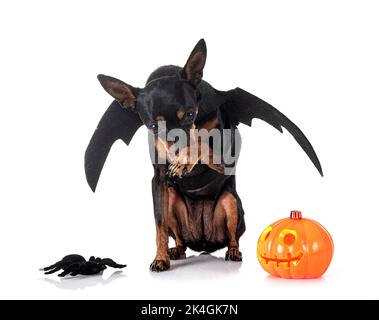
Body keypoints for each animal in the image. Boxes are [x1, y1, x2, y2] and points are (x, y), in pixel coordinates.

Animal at [86, 38, 324, 272]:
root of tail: (204, 244)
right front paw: (160, 258)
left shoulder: (224, 157)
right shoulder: (159, 179)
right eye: (154, 126)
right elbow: (159, 226)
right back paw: (175, 251)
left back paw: (233, 252)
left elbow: (201, 143)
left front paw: (184, 161)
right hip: (171, 199)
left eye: (190, 114)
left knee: (233, 238)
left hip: (230, 201)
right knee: (180, 241)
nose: (176, 149)